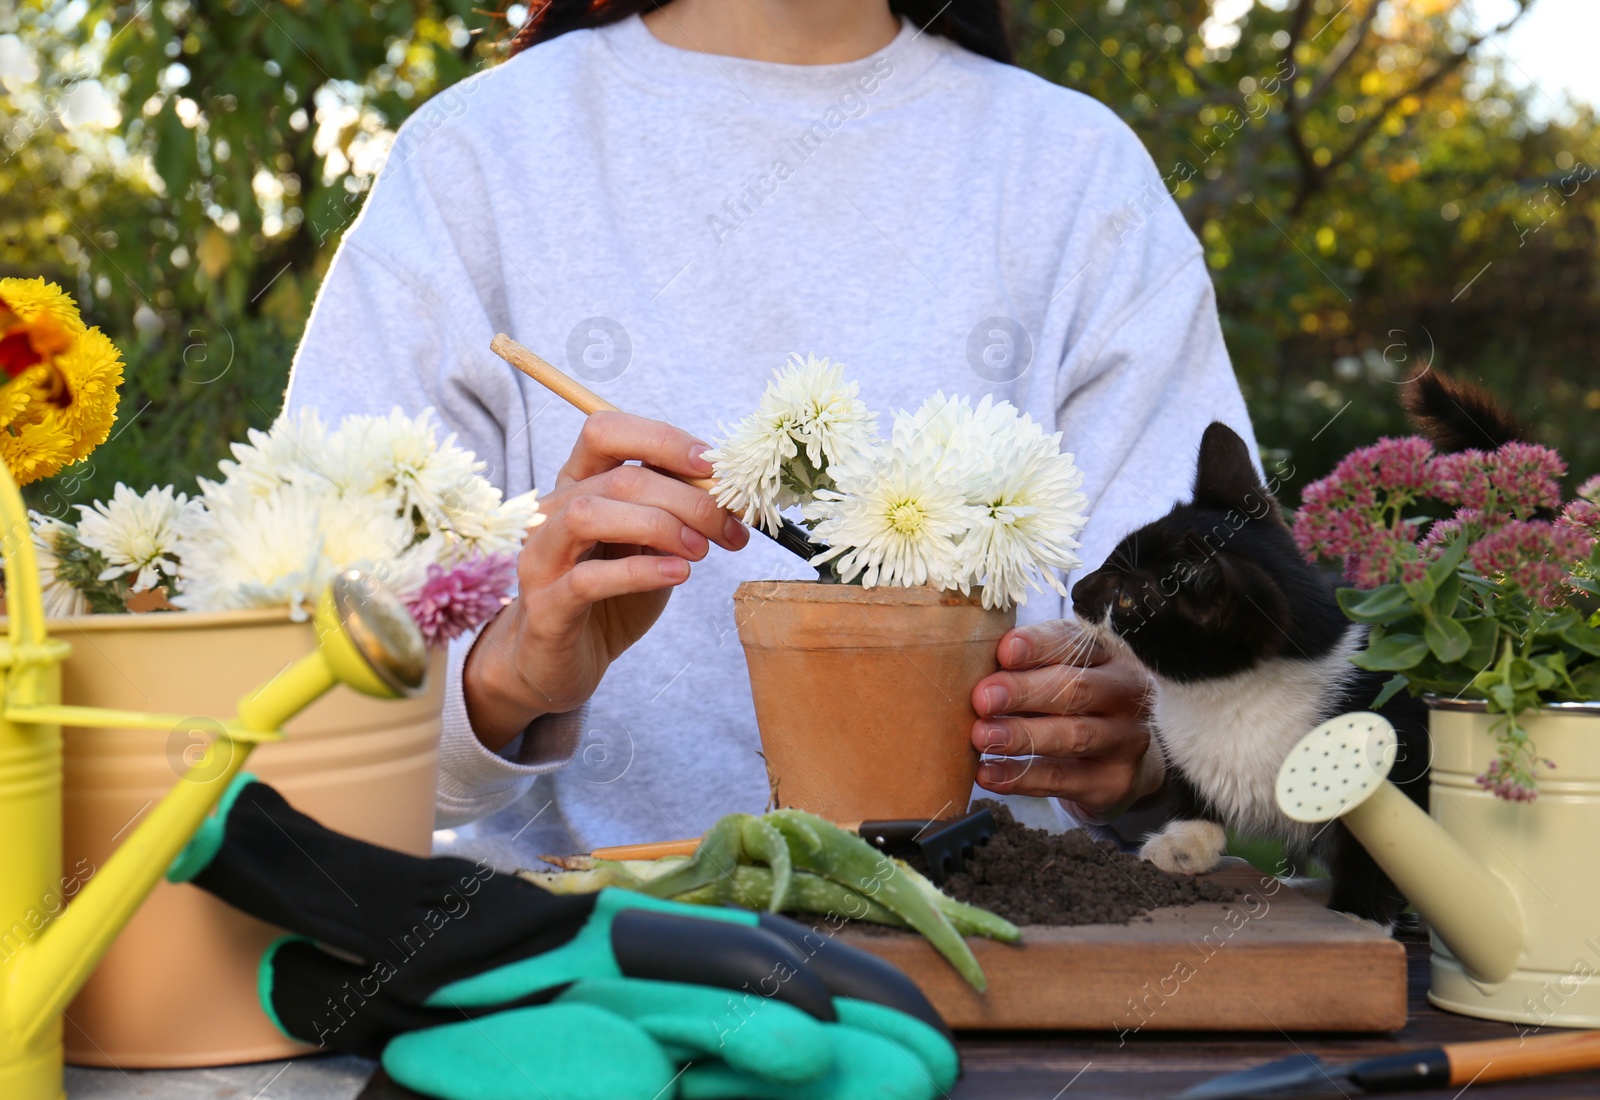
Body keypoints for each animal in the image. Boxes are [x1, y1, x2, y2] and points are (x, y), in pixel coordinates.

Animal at [1068, 375, 1516, 920]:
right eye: (1111, 559)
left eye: (1129, 599)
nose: (1076, 592)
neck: (1229, 699)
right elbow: (1193, 790)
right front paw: (1184, 842)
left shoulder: (1404, 755)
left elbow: (1383, 852)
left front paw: (1357, 913)